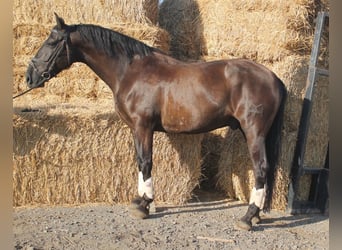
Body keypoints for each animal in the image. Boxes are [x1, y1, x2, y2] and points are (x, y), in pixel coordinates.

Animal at [25, 12, 286, 229]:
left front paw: (144, 205)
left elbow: (146, 162)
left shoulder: (143, 126)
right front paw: (140, 200)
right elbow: (139, 162)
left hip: (254, 132)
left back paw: (248, 217)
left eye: (51, 42)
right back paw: (256, 214)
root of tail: (272, 77)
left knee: (261, 169)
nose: (30, 77)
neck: (131, 71)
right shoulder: (136, 129)